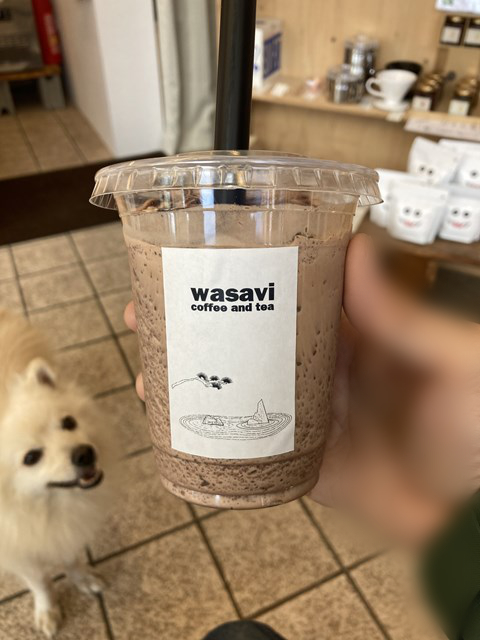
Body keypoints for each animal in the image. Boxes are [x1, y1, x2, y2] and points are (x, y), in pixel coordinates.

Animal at [0, 310, 117, 636]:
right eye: (31, 458)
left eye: (68, 423)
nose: (84, 453)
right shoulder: (16, 547)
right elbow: (39, 581)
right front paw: (47, 610)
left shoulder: (64, 528)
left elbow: (71, 559)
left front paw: (83, 579)